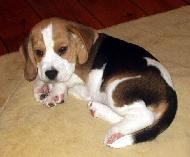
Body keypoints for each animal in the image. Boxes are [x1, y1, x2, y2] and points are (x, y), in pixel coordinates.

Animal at [19, 18, 177, 148]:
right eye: (38, 52)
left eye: (62, 49)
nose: (51, 74)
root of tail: (171, 91)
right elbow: (42, 75)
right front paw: (41, 87)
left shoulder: (81, 78)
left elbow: (64, 80)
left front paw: (54, 92)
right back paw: (99, 111)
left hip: (115, 87)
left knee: (146, 116)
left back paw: (114, 130)